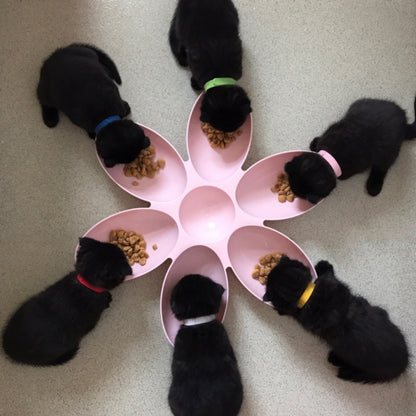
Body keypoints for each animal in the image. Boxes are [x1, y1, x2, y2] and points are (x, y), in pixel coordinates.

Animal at [286, 96, 416, 203]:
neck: (331, 158)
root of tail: (405, 123)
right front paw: (314, 144)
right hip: (359, 103)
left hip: (389, 152)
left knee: (382, 168)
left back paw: (373, 186)